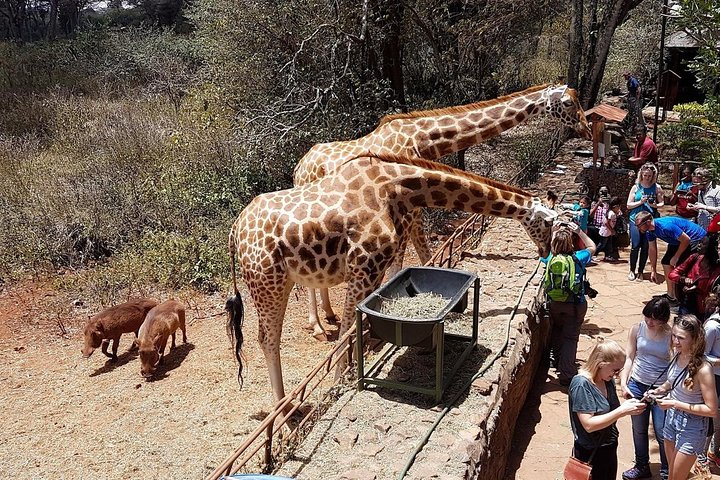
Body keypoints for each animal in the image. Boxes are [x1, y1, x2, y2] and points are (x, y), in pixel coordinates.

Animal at [226, 153, 558, 408]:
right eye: (548, 222)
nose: (546, 251)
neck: (395, 189)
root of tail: (235, 231)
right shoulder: (363, 266)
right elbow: (347, 331)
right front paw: (339, 382)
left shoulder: (376, 269)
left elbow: (362, 325)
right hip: (268, 281)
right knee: (267, 339)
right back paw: (285, 410)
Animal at [293, 84, 591, 337]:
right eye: (568, 103)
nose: (587, 129)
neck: (425, 139)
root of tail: (299, 166)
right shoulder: (404, 211)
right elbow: (404, 259)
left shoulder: (413, 208)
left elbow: (425, 255)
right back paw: (317, 325)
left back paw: (329, 313)